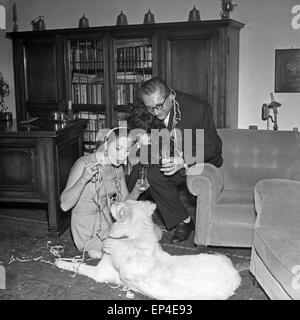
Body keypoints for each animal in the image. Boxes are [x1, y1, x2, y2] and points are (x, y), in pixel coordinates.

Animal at [54, 200, 241, 300]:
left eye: (117, 206)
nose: (112, 200)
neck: (131, 239)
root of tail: (236, 276)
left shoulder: (100, 273)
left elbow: (78, 266)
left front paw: (60, 262)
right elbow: (100, 252)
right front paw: (94, 252)